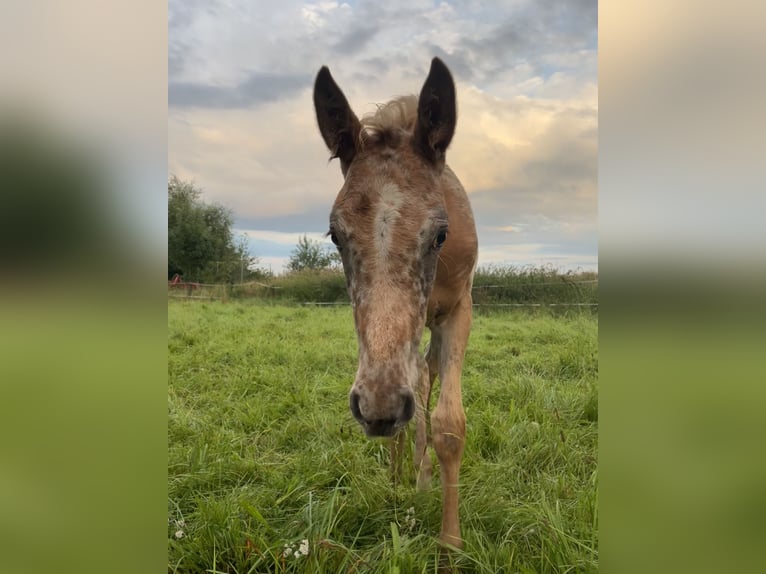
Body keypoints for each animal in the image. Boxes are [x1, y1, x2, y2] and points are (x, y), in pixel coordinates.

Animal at [316, 57, 476, 548]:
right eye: (335, 235)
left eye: (440, 233)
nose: (378, 410)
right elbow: (418, 396)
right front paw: (401, 474)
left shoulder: (459, 311)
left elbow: (448, 423)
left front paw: (450, 546)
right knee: (418, 380)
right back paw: (399, 473)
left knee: (425, 377)